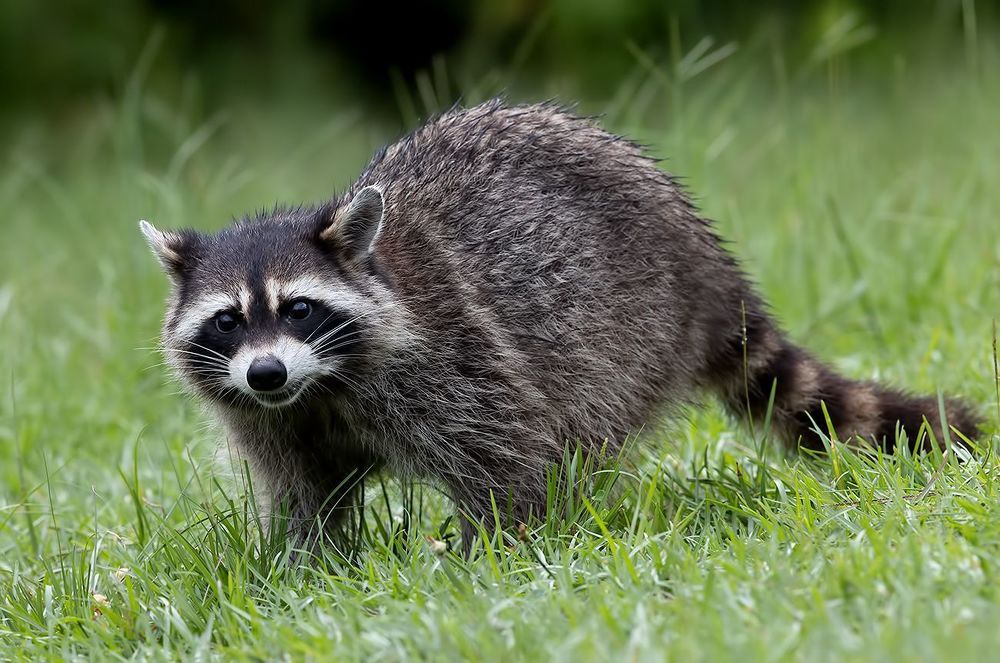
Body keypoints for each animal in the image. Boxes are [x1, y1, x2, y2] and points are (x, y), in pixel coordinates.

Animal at [141, 100, 980, 547]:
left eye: (299, 309)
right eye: (227, 321)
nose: (267, 372)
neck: (320, 386)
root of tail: (708, 264)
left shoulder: (449, 361)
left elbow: (505, 451)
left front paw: (489, 552)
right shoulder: (272, 418)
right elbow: (304, 495)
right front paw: (304, 564)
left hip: (627, 331)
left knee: (577, 425)